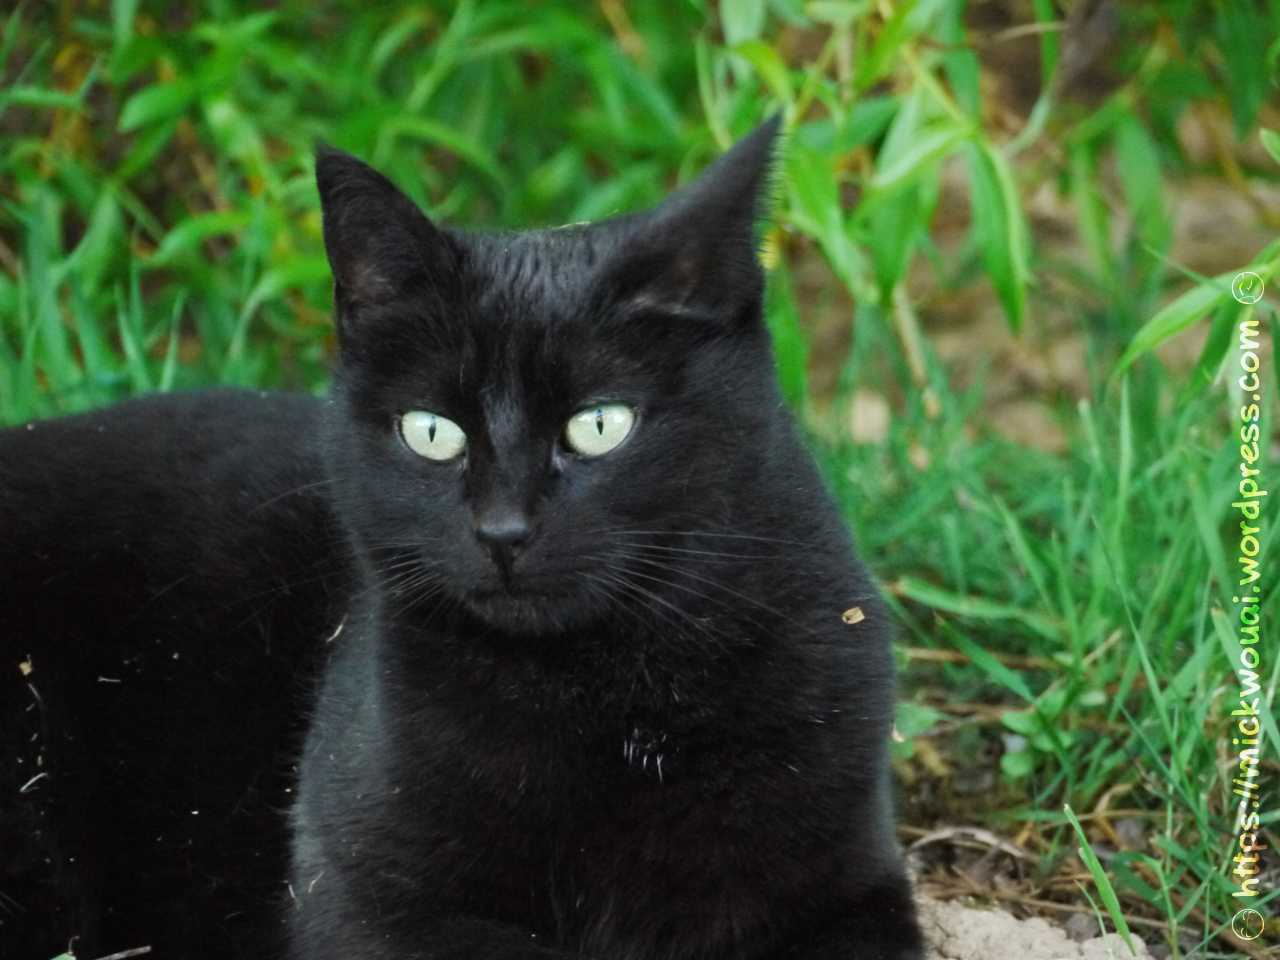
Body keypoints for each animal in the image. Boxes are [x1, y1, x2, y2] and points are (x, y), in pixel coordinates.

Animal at [0, 120, 921, 960]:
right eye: (432, 432)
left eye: (599, 425)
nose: (503, 531)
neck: (613, 699)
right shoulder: (371, 897)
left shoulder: (850, 886)